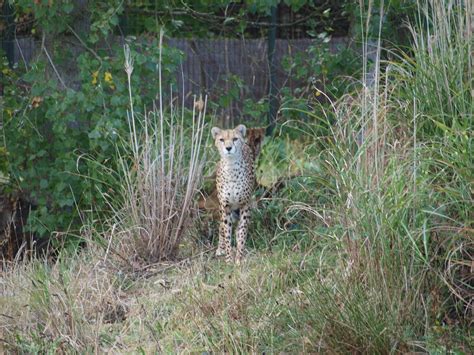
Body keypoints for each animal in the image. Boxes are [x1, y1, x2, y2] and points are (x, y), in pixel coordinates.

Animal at [210, 125, 258, 264]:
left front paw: (239, 258)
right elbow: (226, 232)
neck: (231, 168)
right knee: (221, 227)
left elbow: (242, 231)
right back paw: (220, 249)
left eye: (235, 139)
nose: (228, 148)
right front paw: (228, 258)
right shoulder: (225, 206)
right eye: (221, 139)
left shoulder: (245, 204)